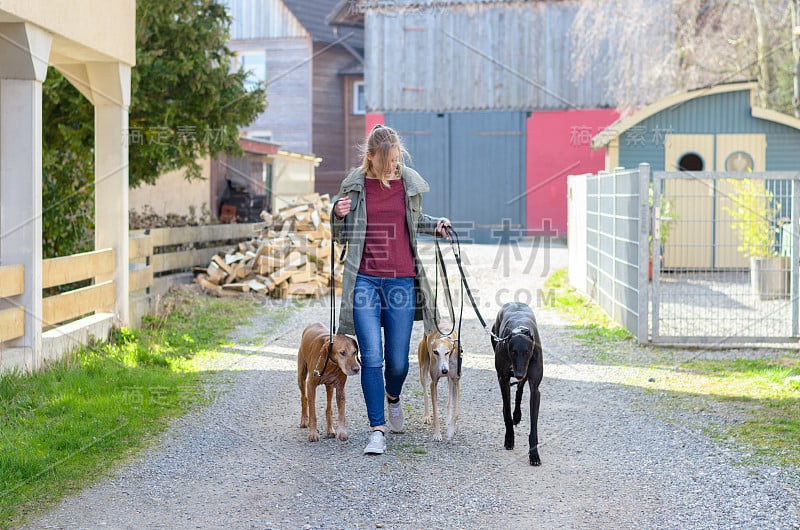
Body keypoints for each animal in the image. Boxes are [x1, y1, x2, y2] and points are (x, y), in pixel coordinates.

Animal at [494, 302, 544, 462]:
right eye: (513, 351)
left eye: (527, 352)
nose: (519, 374)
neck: (520, 330)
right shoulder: (503, 379)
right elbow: (507, 413)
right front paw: (509, 438)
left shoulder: (535, 388)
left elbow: (533, 425)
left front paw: (534, 454)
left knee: (520, 390)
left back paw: (517, 414)